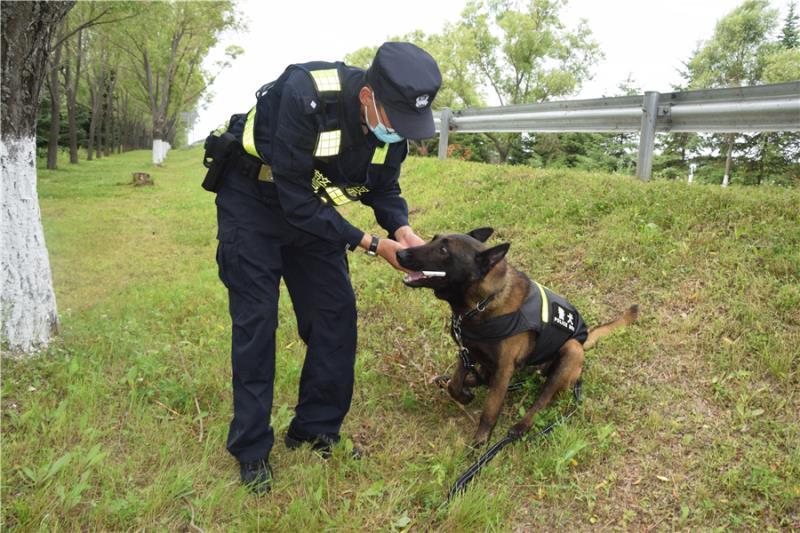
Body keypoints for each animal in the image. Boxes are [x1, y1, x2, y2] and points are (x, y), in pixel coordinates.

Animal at [396, 228, 640, 444]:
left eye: (444, 250)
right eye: (434, 239)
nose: (400, 253)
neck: (482, 304)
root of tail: (584, 336)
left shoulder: (504, 367)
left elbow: (491, 407)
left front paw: (481, 440)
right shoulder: (467, 350)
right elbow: (455, 384)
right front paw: (463, 394)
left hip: (571, 350)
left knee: (542, 398)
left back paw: (522, 425)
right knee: (485, 379)